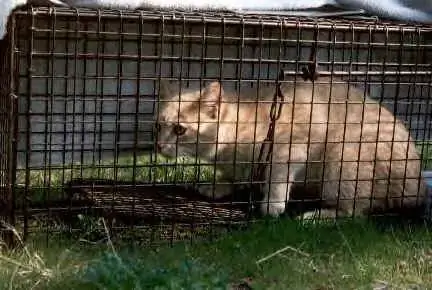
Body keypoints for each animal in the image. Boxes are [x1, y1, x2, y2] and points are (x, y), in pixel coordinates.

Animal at [154, 78, 426, 219]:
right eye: (158, 126)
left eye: (179, 130)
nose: (158, 145)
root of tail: (418, 184)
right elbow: (238, 176)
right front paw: (219, 185)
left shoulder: (291, 145)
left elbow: (277, 177)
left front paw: (272, 204)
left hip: (342, 159)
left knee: (353, 211)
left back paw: (316, 216)